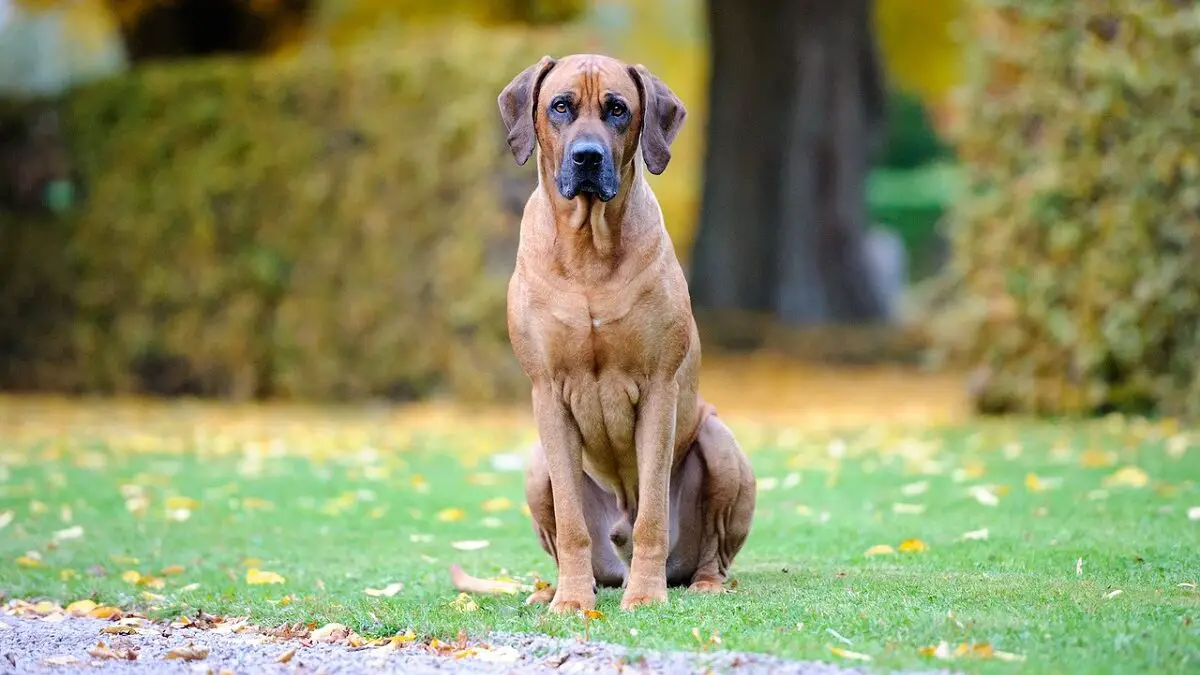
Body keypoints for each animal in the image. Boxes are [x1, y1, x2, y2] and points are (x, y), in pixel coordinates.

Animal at [494, 53, 753, 610]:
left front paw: (647, 596)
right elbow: (571, 521)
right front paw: (572, 601)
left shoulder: (658, 388)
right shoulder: (548, 392)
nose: (588, 158)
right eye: (560, 106)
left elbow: (652, 513)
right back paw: (559, 587)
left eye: (617, 109)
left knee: (713, 551)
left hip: (719, 443)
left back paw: (700, 582)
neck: (590, 248)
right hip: (536, 465)